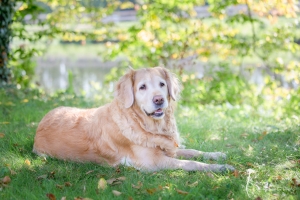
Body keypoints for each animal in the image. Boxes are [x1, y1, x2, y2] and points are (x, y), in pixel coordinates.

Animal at [33, 67, 234, 172]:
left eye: (162, 84)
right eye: (142, 87)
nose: (159, 100)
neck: (148, 125)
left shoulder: (169, 150)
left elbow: (193, 151)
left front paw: (217, 155)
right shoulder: (153, 163)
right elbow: (191, 163)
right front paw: (221, 167)